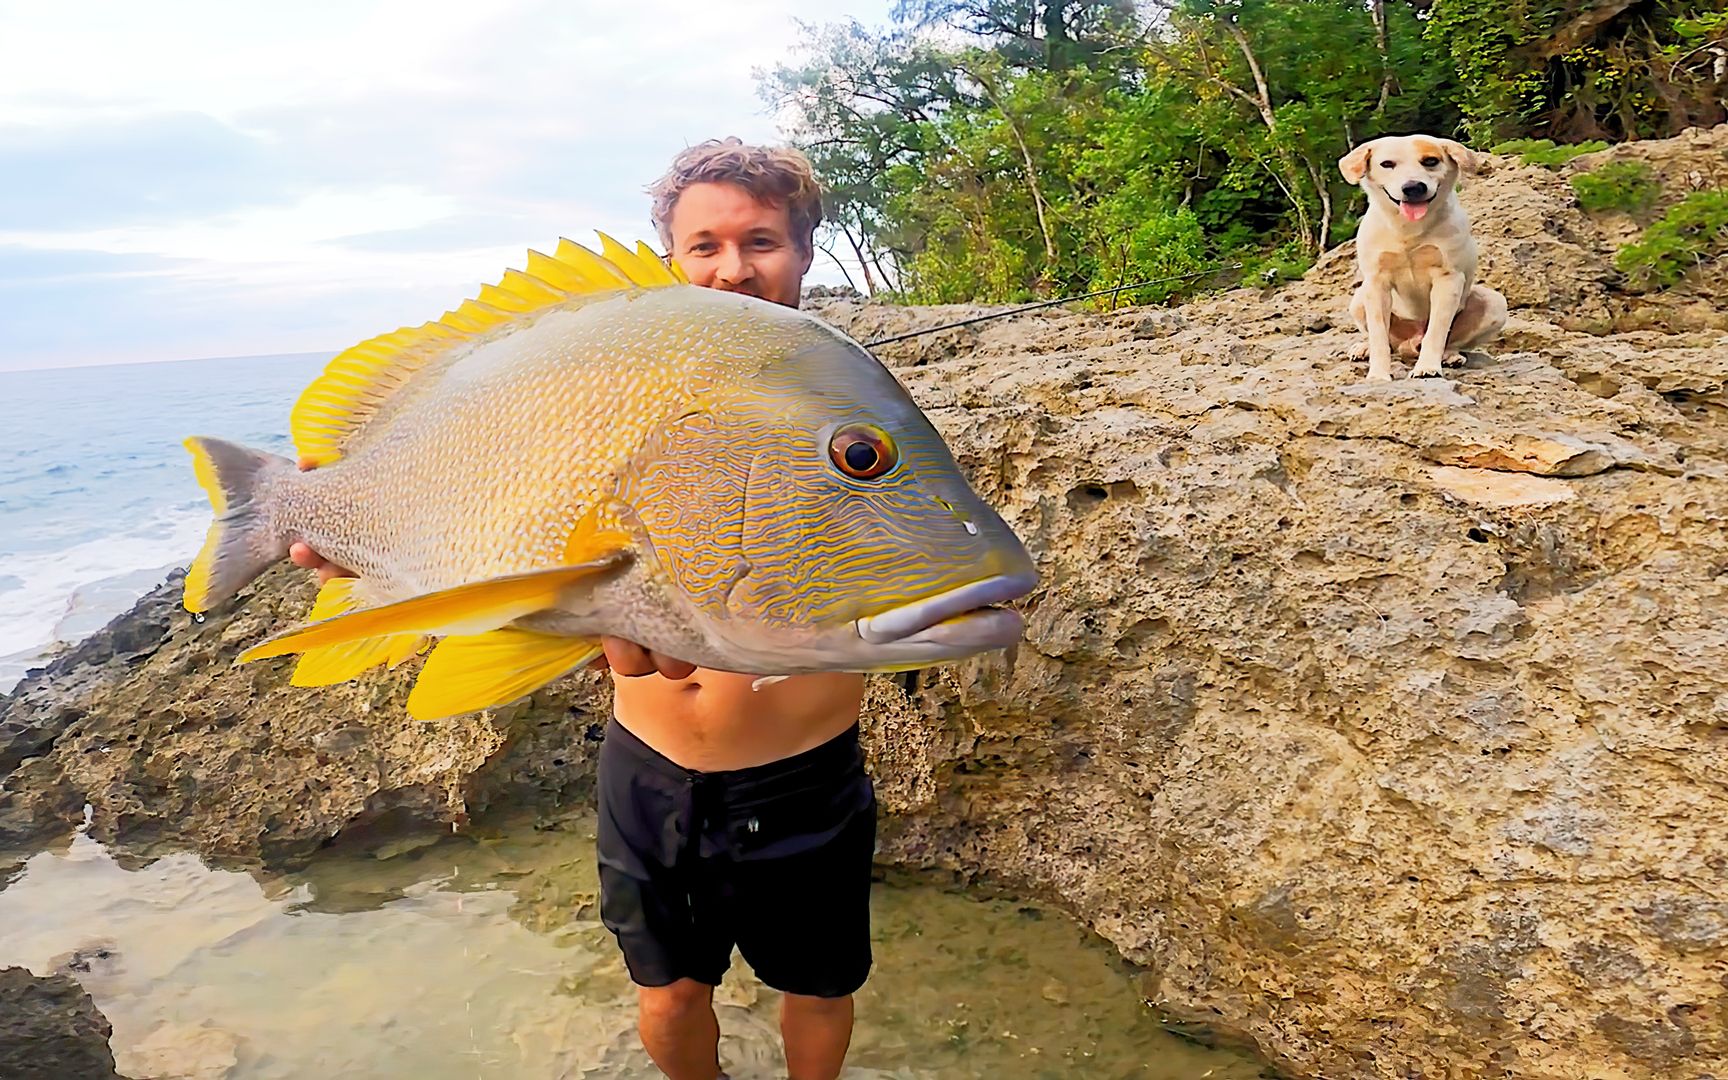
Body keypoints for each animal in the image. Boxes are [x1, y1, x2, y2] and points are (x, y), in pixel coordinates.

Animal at [1340, 134, 1506, 381]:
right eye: (1387, 164)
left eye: (1430, 161)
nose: (1413, 187)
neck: (1408, 229)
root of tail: (1410, 342)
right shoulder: (1377, 282)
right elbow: (1379, 336)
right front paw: (1378, 375)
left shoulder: (1448, 280)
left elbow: (1436, 331)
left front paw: (1428, 367)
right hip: (1359, 299)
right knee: (1386, 341)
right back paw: (1364, 348)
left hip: (1495, 302)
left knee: (1448, 340)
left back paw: (1449, 356)